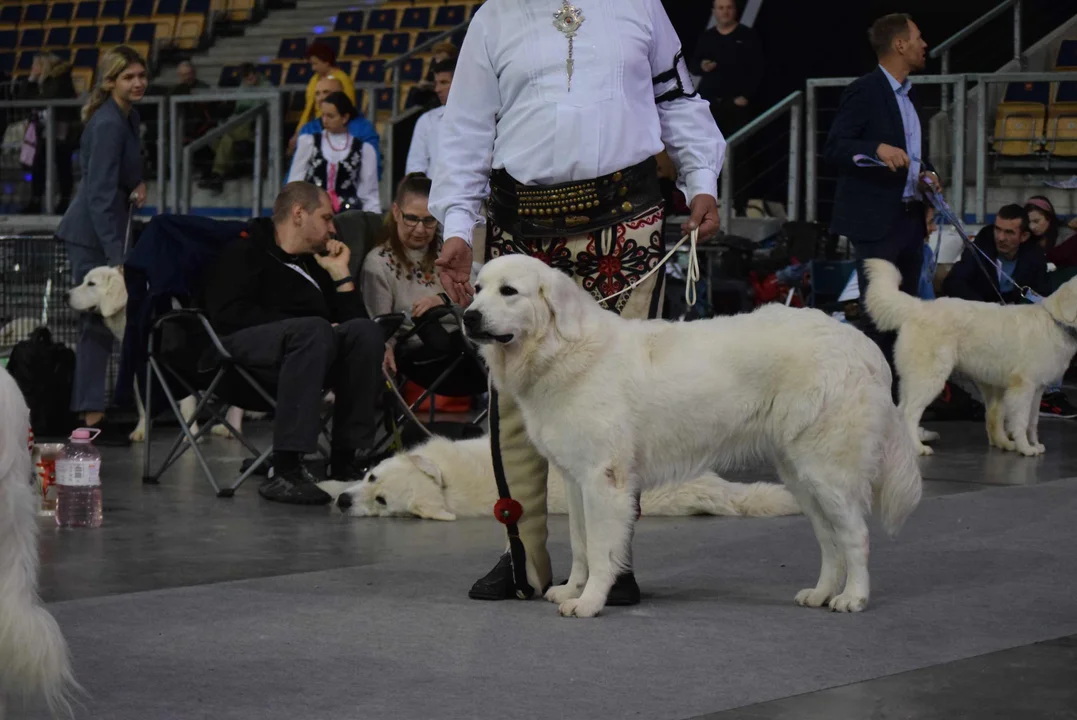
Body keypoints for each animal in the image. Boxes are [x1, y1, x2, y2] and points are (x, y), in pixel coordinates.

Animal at [68, 265, 248, 441]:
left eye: (91, 284)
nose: (65, 295)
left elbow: (187, 407)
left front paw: (190, 435)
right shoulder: (140, 370)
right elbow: (143, 405)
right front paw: (141, 430)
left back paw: (231, 428)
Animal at [458, 253, 921, 619]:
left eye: (509, 291)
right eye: (477, 289)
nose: (468, 316)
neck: (561, 348)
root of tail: (862, 344)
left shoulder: (603, 480)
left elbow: (601, 547)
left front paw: (589, 602)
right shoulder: (575, 479)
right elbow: (580, 543)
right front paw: (572, 589)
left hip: (826, 470)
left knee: (855, 536)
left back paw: (853, 598)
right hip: (800, 475)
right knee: (829, 540)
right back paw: (821, 593)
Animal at [861, 259, 1077, 454]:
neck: (1056, 322)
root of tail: (919, 306)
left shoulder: (1037, 389)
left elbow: (1033, 421)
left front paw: (1034, 445)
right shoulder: (1023, 387)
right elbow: (1021, 422)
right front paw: (1025, 448)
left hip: (913, 380)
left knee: (901, 411)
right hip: (930, 379)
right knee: (909, 414)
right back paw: (918, 448)